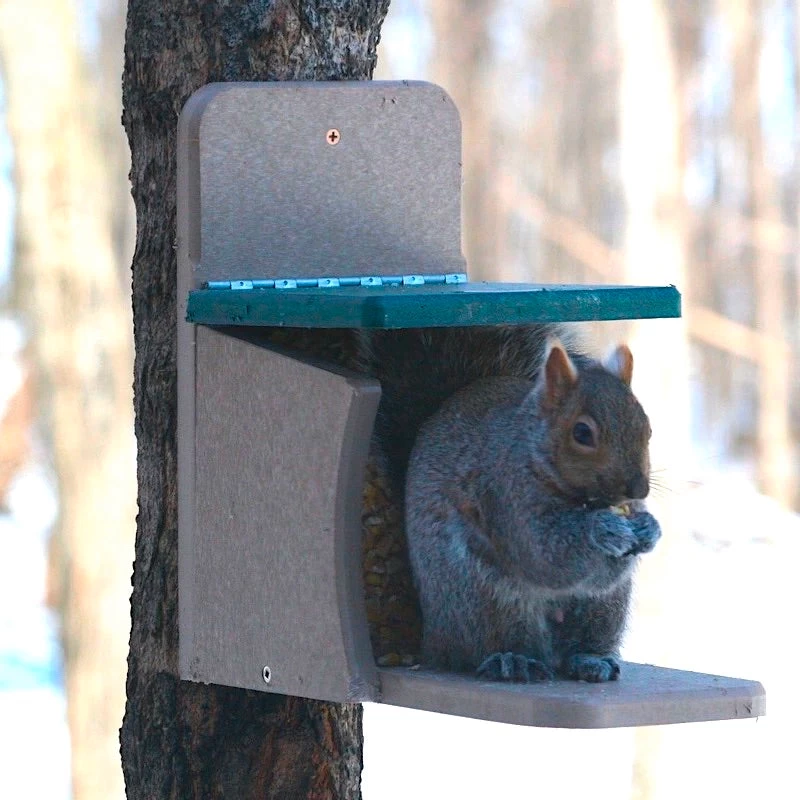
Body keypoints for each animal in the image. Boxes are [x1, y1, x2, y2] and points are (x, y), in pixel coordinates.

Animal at [356, 325, 661, 683]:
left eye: (647, 428)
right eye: (582, 433)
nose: (638, 488)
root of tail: (434, 637)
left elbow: (601, 573)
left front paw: (649, 528)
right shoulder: (503, 495)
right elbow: (545, 554)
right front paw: (603, 530)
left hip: (602, 608)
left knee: (582, 638)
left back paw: (590, 659)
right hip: (485, 602)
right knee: (487, 646)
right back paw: (513, 660)